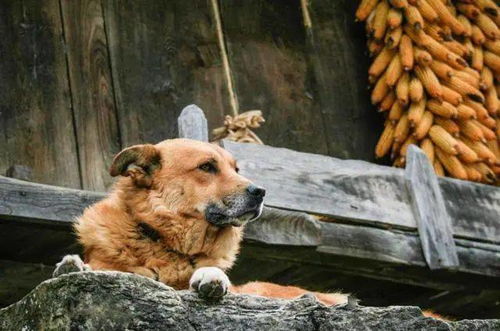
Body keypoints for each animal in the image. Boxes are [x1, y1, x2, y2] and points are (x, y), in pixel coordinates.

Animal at [53, 139, 344, 304]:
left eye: (235, 169)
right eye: (206, 167)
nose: (261, 192)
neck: (166, 242)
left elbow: (214, 274)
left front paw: (211, 276)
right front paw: (73, 265)